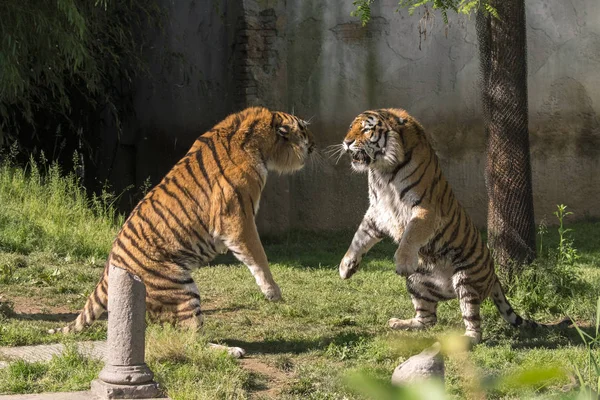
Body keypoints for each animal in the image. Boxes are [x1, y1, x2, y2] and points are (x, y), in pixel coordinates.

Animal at [51, 105, 316, 354]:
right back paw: (231, 351)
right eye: (304, 129)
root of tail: (108, 266)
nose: (315, 144)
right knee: (192, 342)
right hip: (180, 289)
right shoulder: (237, 219)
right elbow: (257, 255)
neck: (259, 140)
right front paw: (273, 292)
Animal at [338, 108, 568, 342]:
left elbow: (411, 234)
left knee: (472, 319)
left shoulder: (425, 210)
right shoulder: (378, 213)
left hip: (466, 279)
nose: (346, 142)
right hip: (416, 282)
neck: (382, 172)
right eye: (350, 128)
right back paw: (401, 323)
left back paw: (469, 338)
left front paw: (402, 262)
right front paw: (346, 266)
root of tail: (494, 275)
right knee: (428, 319)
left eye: (367, 129)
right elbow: (359, 238)